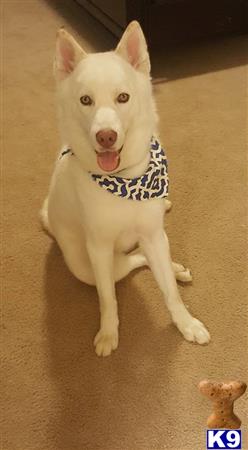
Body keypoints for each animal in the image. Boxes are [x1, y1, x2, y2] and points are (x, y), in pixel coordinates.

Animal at [41, 22, 211, 356]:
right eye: (85, 100)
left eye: (123, 97)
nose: (106, 136)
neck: (125, 181)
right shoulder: (99, 249)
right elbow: (108, 298)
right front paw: (109, 333)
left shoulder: (155, 235)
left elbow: (170, 293)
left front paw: (186, 323)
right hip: (83, 266)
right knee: (131, 261)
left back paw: (174, 265)